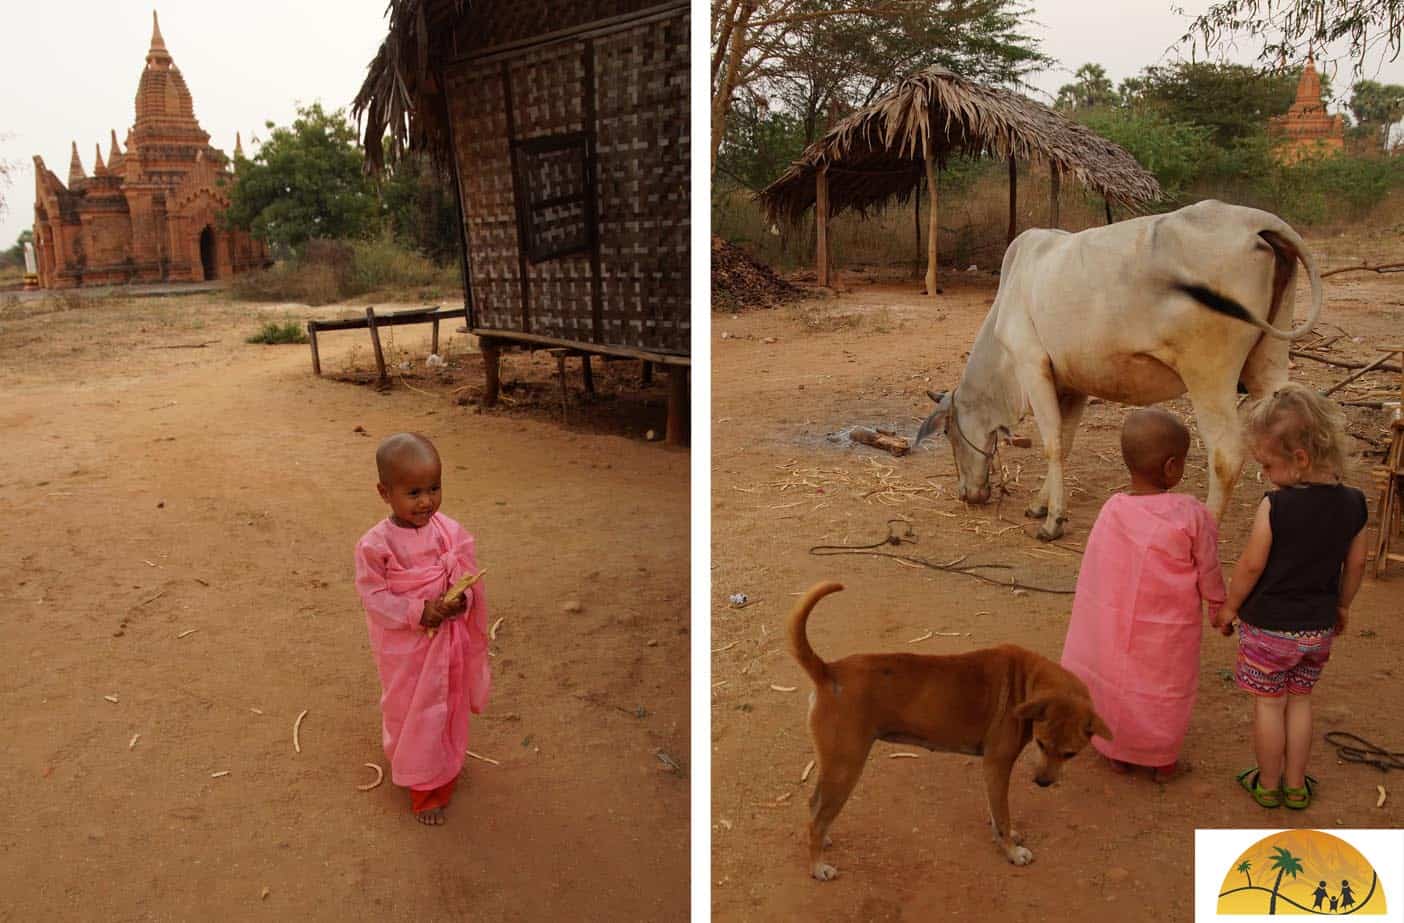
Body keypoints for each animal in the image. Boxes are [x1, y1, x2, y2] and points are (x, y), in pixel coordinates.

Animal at [791, 584, 1106, 876]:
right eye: (1041, 744)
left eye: (1070, 754)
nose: (1043, 783)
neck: (1026, 681)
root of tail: (829, 670)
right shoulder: (997, 765)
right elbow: (1002, 815)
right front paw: (1011, 851)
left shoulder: (995, 771)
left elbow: (997, 812)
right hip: (845, 767)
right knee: (816, 819)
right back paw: (818, 865)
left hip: (835, 767)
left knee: (814, 806)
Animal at [915, 198, 1319, 536]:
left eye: (948, 432)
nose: (967, 493)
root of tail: (1257, 222)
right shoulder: (1072, 383)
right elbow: (1065, 442)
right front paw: (1041, 505)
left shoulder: (1032, 366)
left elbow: (1051, 444)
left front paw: (1052, 521)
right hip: (1268, 364)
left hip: (1209, 376)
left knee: (1226, 455)